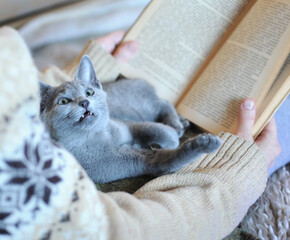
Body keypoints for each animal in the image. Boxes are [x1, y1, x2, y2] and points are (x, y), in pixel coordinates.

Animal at [40, 55, 222, 183]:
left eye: (89, 92)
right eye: (63, 101)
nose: (84, 102)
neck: (99, 136)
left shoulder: (128, 125)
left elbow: (153, 129)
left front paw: (170, 138)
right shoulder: (131, 161)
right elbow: (167, 160)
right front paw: (205, 143)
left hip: (141, 108)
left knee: (163, 104)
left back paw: (178, 124)